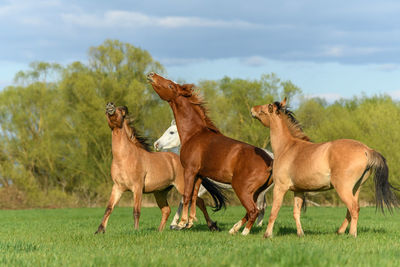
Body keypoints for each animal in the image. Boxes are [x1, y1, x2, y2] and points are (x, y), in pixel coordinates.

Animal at [94, 103, 225, 234]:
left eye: (121, 112)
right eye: (108, 112)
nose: (109, 106)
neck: (124, 158)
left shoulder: (137, 188)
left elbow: (136, 211)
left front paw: (136, 230)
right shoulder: (117, 187)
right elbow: (109, 208)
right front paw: (100, 230)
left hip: (183, 187)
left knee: (199, 202)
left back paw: (212, 226)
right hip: (160, 192)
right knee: (167, 210)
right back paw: (159, 231)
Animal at [148, 71, 276, 237]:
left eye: (170, 85)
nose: (152, 74)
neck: (194, 134)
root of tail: (271, 161)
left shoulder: (190, 171)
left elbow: (186, 196)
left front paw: (181, 223)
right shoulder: (199, 175)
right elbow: (194, 197)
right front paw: (190, 222)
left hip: (242, 189)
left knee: (254, 210)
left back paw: (243, 232)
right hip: (254, 192)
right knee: (252, 211)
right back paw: (234, 228)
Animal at [252, 98, 398, 239]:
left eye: (266, 108)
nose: (253, 109)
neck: (288, 147)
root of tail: (366, 150)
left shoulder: (280, 187)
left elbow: (274, 211)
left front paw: (267, 234)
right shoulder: (298, 190)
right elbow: (296, 212)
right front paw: (300, 233)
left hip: (343, 189)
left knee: (353, 208)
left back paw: (352, 234)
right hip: (356, 189)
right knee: (351, 210)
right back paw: (340, 231)